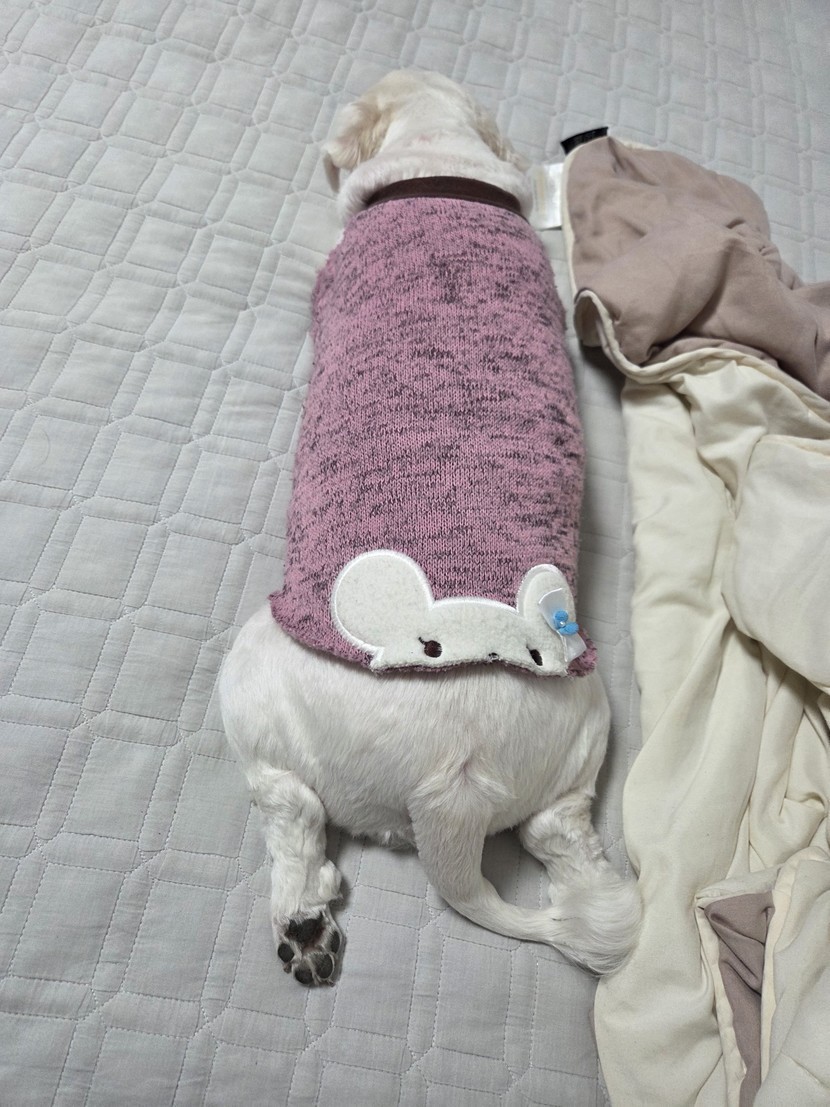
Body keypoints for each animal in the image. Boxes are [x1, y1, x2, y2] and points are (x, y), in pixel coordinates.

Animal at [219, 71, 641, 986]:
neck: (442, 171)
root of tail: (453, 789)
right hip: (582, 731)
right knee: (564, 839)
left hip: (252, 681)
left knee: (289, 807)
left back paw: (302, 920)